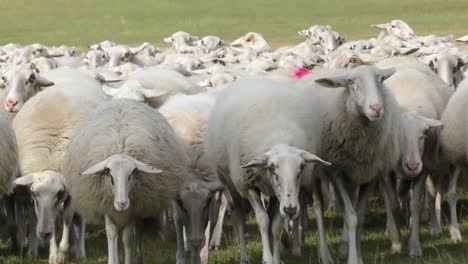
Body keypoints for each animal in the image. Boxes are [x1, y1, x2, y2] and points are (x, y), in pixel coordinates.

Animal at [10, 76, 107, 262]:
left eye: (59, 193)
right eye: (34, 193)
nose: (43, 233)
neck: (52, 159)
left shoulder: (71, 191)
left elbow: (68, 218)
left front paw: (63, 251)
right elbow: (49, 218)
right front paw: (52, 253)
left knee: (80, 219)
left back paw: (79, 250)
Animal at [63, 99, 188, 264]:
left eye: (131, 175)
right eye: (109, 176)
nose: (122, 203)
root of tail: (123, 100)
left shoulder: (132, 210)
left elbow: (128, 238)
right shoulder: (107, 207)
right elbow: (111, 234)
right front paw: (112, 260)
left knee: (139, 231)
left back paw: (139, 257)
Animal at [204, 78, 330, 264]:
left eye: (300, 170)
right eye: (273, 170)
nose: (291, 210)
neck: (278, 138)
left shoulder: (279, 196)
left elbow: (276, 225)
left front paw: (276, 258)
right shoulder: (249, 186)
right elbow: (263, 220)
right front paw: (267, 258)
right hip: (232, 182)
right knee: (238, 215)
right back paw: (244, 257)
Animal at [298, 65, 400, 264]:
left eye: (381, 79)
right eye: (350, 82)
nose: (376, 108)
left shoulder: (369, 173)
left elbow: (358, 216)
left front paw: (356, 255)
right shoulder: (336, 171)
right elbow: (351, 216)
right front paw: (353, 258)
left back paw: (343, 246)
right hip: (316, 169)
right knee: (318, 207)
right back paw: (325, 254)